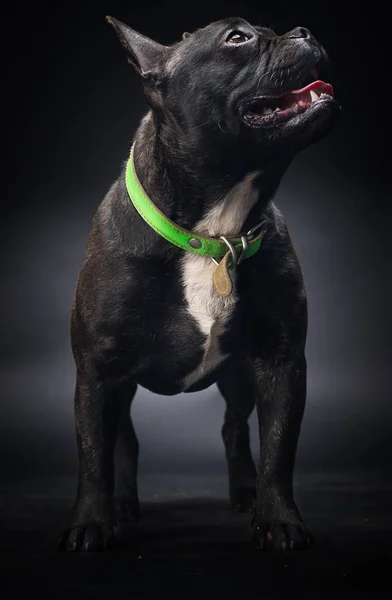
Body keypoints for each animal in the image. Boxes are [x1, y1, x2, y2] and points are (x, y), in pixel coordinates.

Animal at [58, 15, 340, 552]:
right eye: (238, 38)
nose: (303, 31)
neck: (212, 235)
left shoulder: (281, 362)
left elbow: (279, 450)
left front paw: (280, 520)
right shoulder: (99, 373)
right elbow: (92, 455)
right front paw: (89, 522)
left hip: (238, 376)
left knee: (234, 429)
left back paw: (246, 492)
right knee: (123, 439)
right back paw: (121, 504)